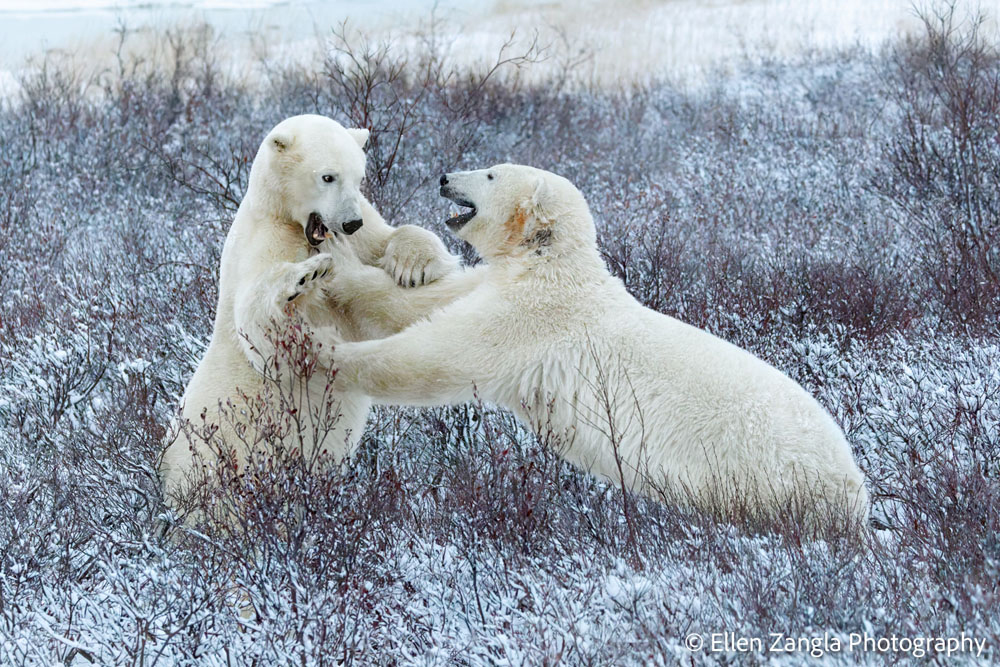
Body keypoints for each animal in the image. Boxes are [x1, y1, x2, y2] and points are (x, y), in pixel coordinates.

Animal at [159, 115, 458, 508]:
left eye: (359, 176)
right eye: (327, 176)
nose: (349, 222)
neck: (290, 220)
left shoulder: (363, 235)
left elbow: (388, 246)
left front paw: (413, 265)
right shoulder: (264, 240)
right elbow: (255, 326)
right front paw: (303, 277)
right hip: (215, 466)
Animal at [320, 164, 868, 528]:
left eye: (491, 174)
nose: (445, 176)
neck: (553, 264)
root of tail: (856, 491)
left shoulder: (533, 316)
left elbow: (436, 355)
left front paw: (320, 349)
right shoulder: (504, 284)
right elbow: (423, 304)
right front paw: (347, 267)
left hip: (758, 477)